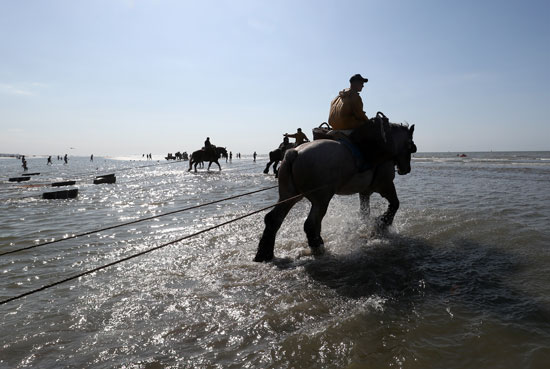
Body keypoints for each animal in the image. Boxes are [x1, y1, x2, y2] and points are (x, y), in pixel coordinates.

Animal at [256, 123, 418, 262]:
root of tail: (294, 152)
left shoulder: (365, 192)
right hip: (321, 199)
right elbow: (395, 204)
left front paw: (366, 227)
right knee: (311, 224)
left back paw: (264, 253)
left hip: (289, 196)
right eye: (411, 147)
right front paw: (383, 223)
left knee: (273, 219)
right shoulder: (385, 185)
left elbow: (364, 212)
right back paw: (318, 247)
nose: (406, 169)